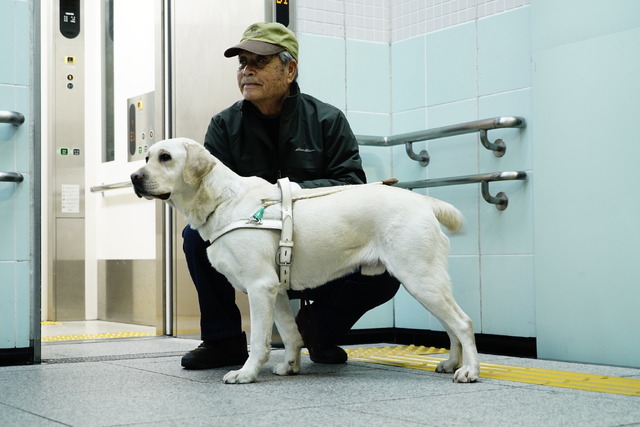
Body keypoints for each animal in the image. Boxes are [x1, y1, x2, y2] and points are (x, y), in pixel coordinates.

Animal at [131, 139, 480, 386]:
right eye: (146, 157)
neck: (224, 201)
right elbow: (290, 333)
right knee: (451, 325)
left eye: (166, 157)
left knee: (463, 322)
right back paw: (451, 363)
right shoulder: (275, 290)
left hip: (419, 278)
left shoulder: (259, 287)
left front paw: (246, 373)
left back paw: (469, 371)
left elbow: (259, 341)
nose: (134, 176)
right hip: (426, 281)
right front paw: (289, 366)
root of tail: (422, 200)